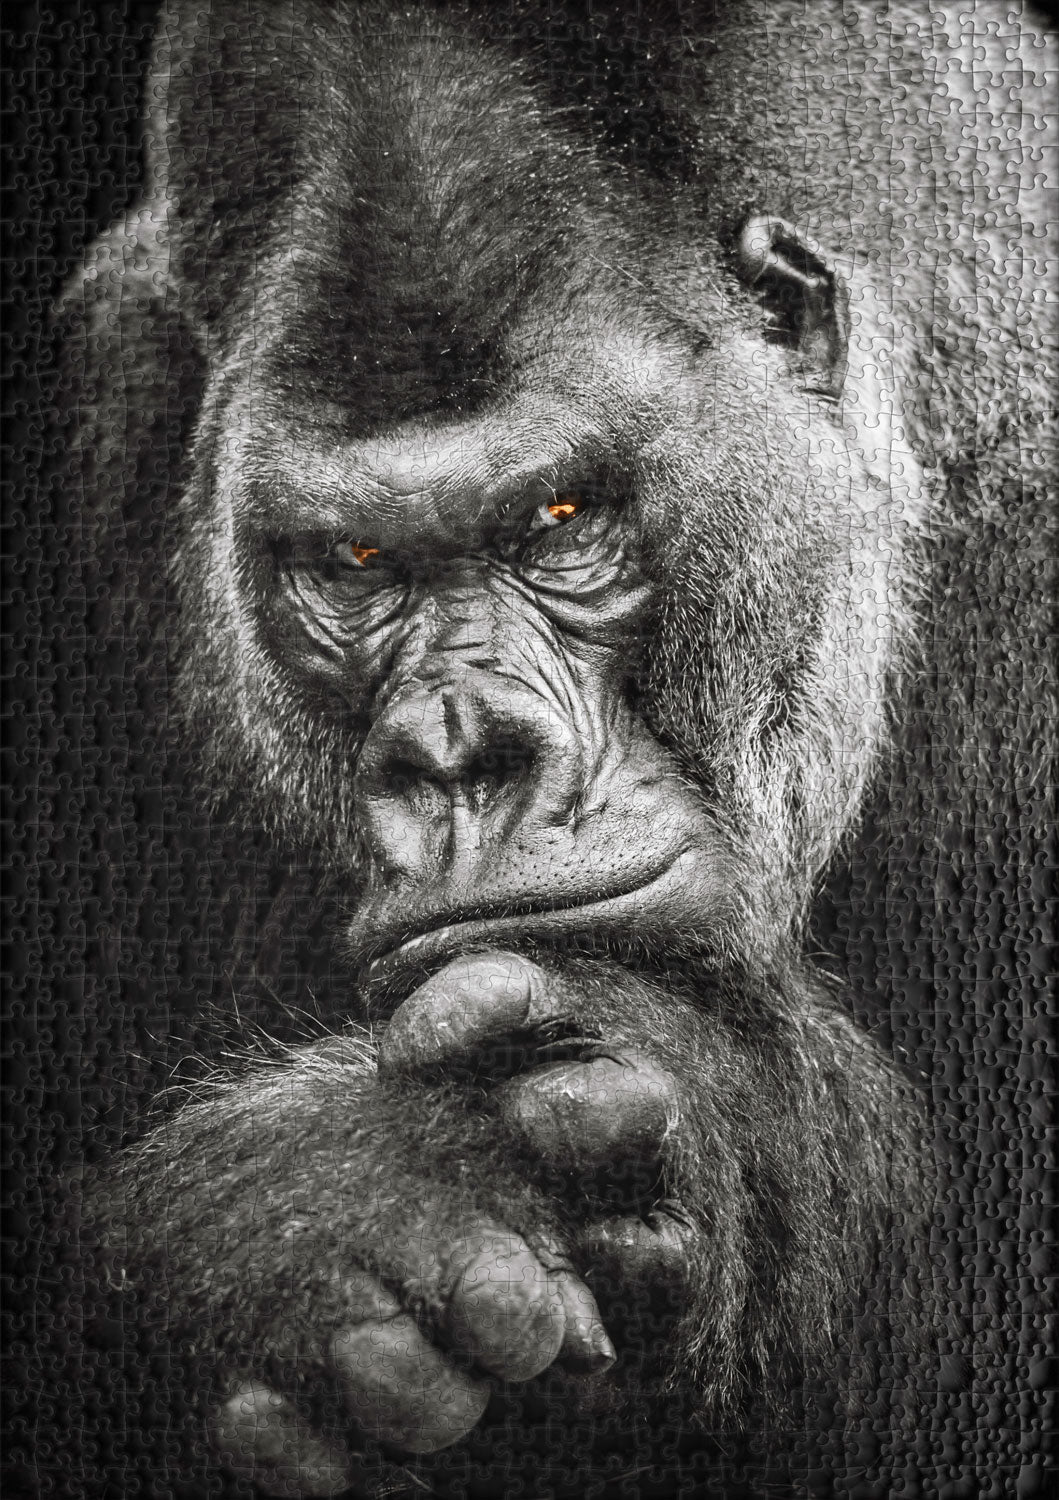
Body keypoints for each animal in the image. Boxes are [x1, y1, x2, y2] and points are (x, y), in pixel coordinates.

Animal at [8, 2, 1054, 1498]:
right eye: (352, 561)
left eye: (558, 519)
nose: (457, 755)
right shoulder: (108, 426)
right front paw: (297, 1225)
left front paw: (716, 1116)